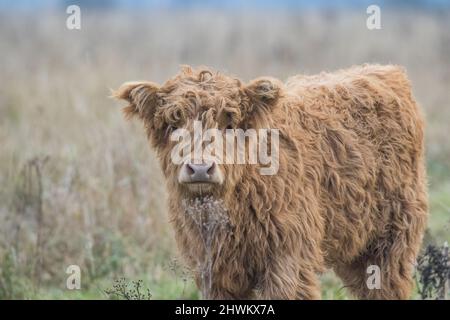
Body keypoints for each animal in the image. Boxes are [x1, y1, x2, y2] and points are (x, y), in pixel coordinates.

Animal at [114, 63, 428, 298]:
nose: (200, 168)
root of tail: (385, 71)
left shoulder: (288, 261)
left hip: (391, 242)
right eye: (173, 123)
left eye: (230, 123)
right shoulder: (212, 270)